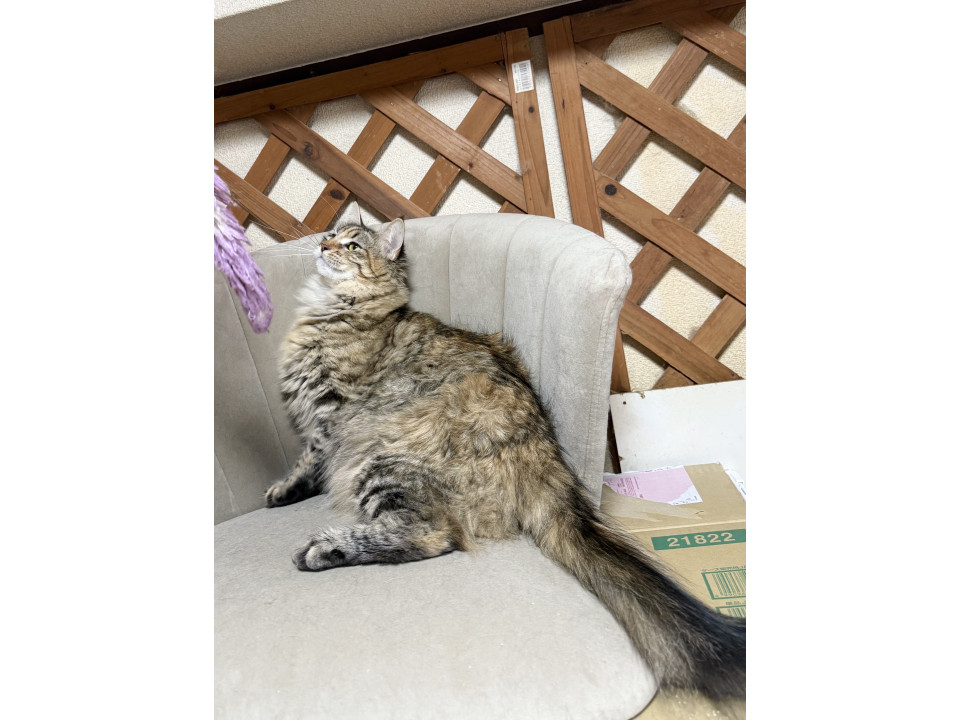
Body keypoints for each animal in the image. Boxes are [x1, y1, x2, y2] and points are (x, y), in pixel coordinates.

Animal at [265, 216, 746, 700]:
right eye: (332, 234)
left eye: (352, 245)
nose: (323, 245)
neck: (336, 309)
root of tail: (546, 453)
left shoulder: (330, 415)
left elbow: (308, 461)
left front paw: (285, 489)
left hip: (384, 458)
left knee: (435, 534)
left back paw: (325, 549)